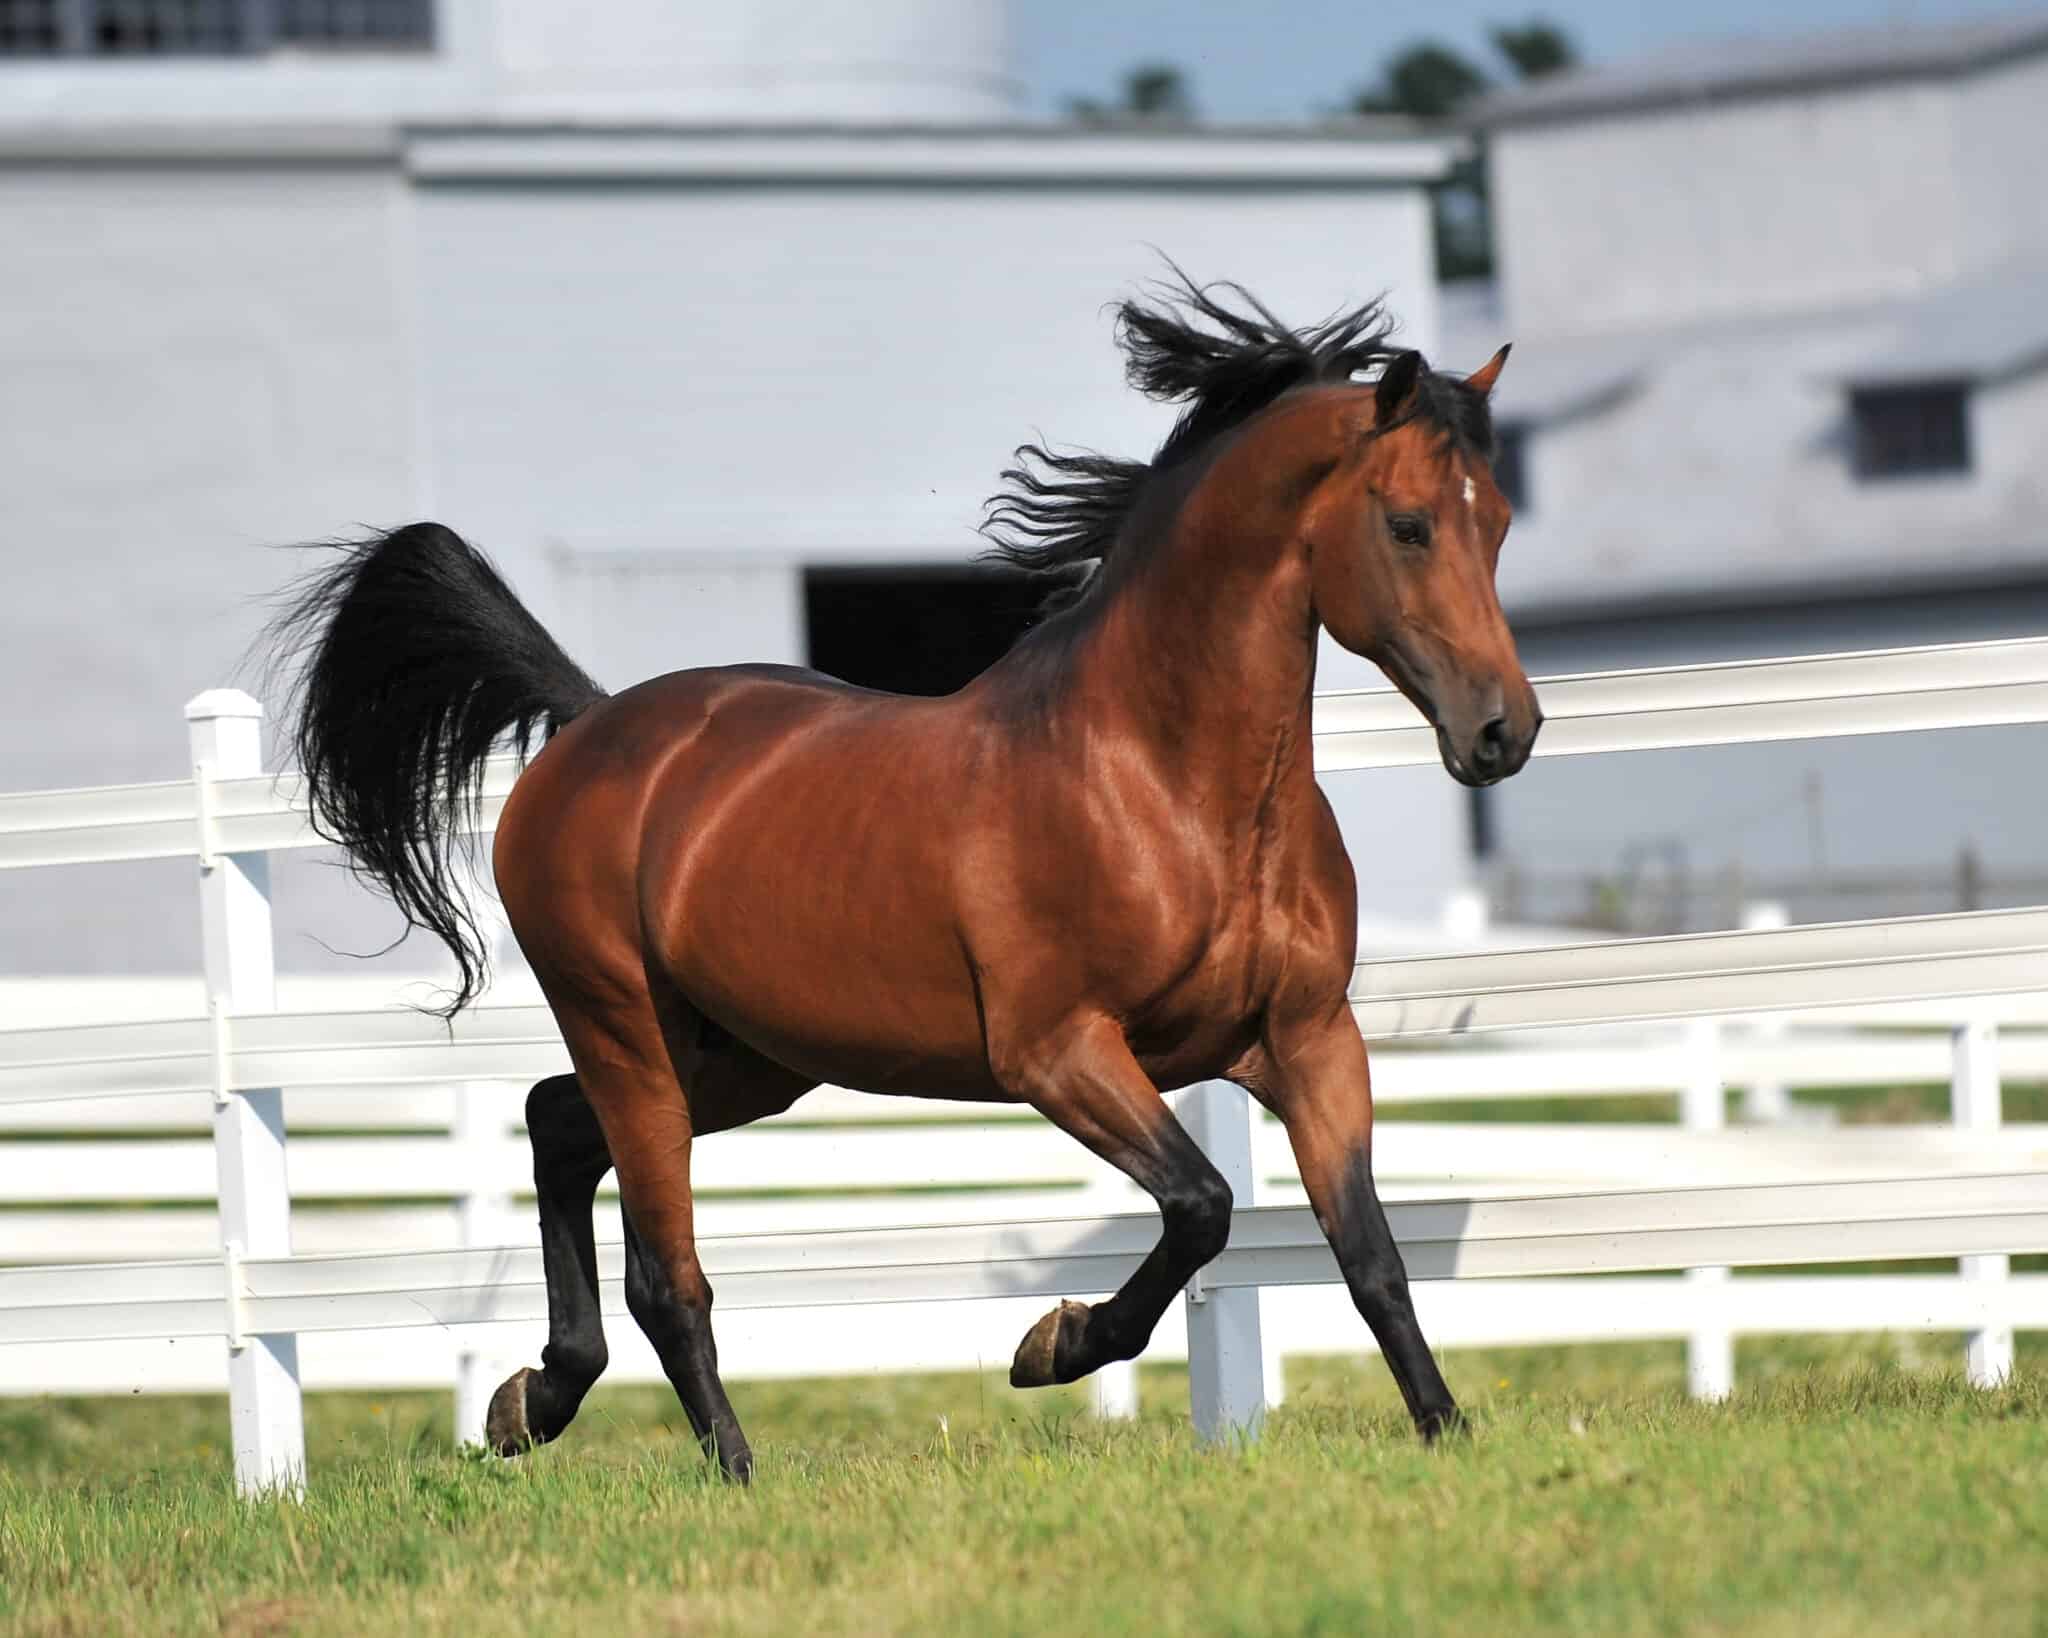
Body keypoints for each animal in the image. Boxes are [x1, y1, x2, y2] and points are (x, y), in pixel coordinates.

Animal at [268, 274, 1540, 1474]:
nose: (1501, 732)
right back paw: (726, 1469)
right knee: (665, 1273)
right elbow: (1201, 1207)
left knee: (553, 1124)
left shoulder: (1308, 1041)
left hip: (748, 1060)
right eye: (1408, 524)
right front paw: (1053, 1345)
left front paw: (1444, 1433)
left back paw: (530, 1400)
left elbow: (1368, 1255)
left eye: (1498, 524)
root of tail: (589, 727)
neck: (1167, 787)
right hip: (625, 1031)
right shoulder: (1058, 1052)